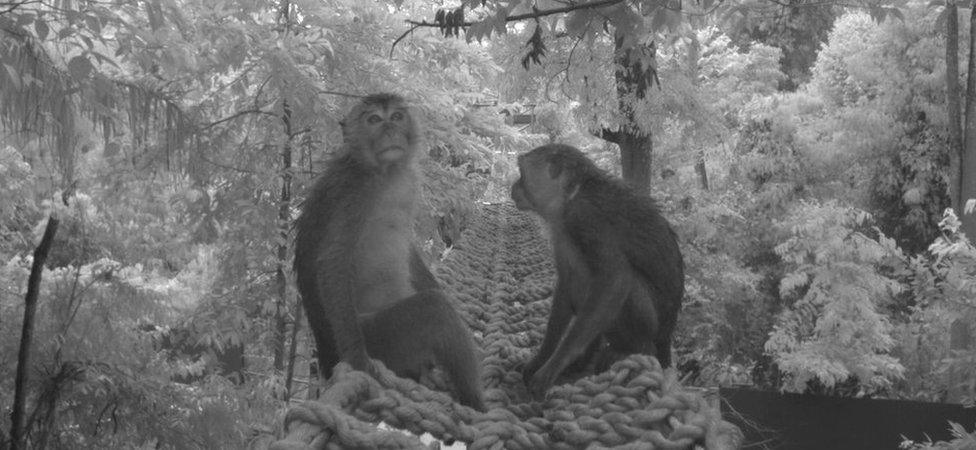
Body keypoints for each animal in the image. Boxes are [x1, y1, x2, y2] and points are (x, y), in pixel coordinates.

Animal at [292, 93, 486, 410]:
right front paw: (359, 360)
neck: (384, 171)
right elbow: (333, 262)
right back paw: (475, 403)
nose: (390, 131)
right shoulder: (354, 190)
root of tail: (326, 357)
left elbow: (408, 249)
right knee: (435, 310)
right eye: (373, 120)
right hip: (382, 338)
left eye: (396, 116)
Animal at [510, 143, 688, 398]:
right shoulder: (561, 227)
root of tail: (666, 338)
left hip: (652, 327)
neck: (571, 196)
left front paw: (554, 366)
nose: (513, 186)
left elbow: (615, 279)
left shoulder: (585, 218)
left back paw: (631, 349)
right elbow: (567, 281)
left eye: (522, 174)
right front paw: (542, 359)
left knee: (624, 283)